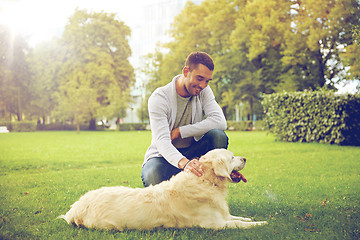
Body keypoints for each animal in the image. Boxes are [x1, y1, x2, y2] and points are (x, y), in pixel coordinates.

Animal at [59, 149, 268, 230]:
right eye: (232, 157)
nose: (245, 158)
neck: (204, 182)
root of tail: (75, 208)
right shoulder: (213, 224)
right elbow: (238, 223)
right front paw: (262, 223)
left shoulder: (221, 215)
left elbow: (238, 217)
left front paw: (252, 219)